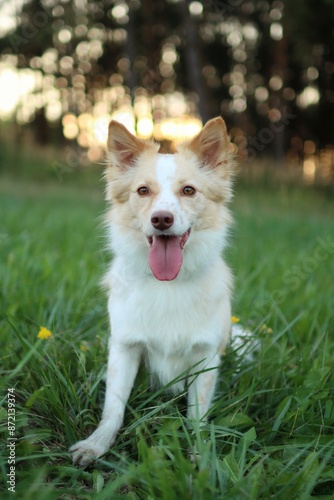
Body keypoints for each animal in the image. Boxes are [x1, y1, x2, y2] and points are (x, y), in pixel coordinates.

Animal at [69, 116, 235, 464]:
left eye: (189, 190)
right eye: (143, 190)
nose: (161, 219)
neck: (167, 284)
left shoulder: (206, 357)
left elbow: (197, 415)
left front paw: (201, 456)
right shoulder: (123, 347)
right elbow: (114, 406)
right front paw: (97, 444)